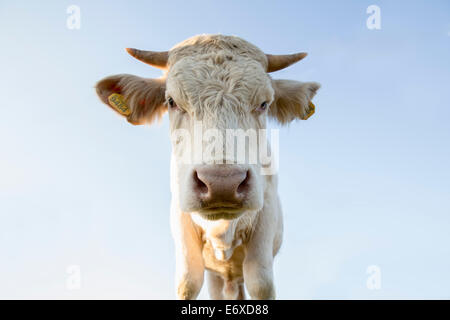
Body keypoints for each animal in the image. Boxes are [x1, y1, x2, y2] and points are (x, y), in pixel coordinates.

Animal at [96, 33, 320, 298]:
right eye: (171, 101)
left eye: (264, 103)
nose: (222, 182)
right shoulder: (182, 219)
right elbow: (187, 282)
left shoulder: (267, 216)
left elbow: (261, 284)